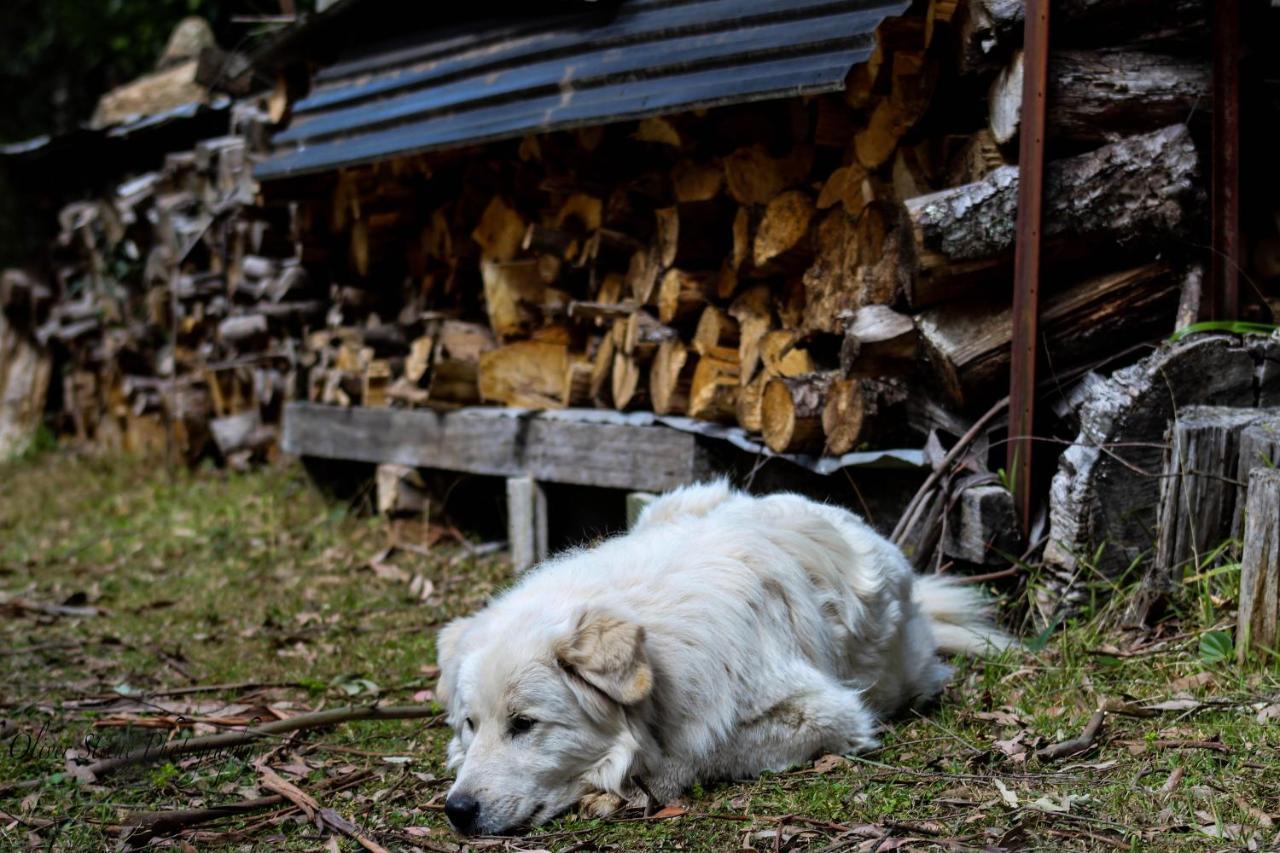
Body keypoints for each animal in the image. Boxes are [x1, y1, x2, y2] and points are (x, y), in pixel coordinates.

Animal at [437, 479, 1008, 829]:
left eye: (524, 724)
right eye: (470, 724)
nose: (457, 810)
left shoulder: (827, 713)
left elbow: (700, 750)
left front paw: (629, 780)